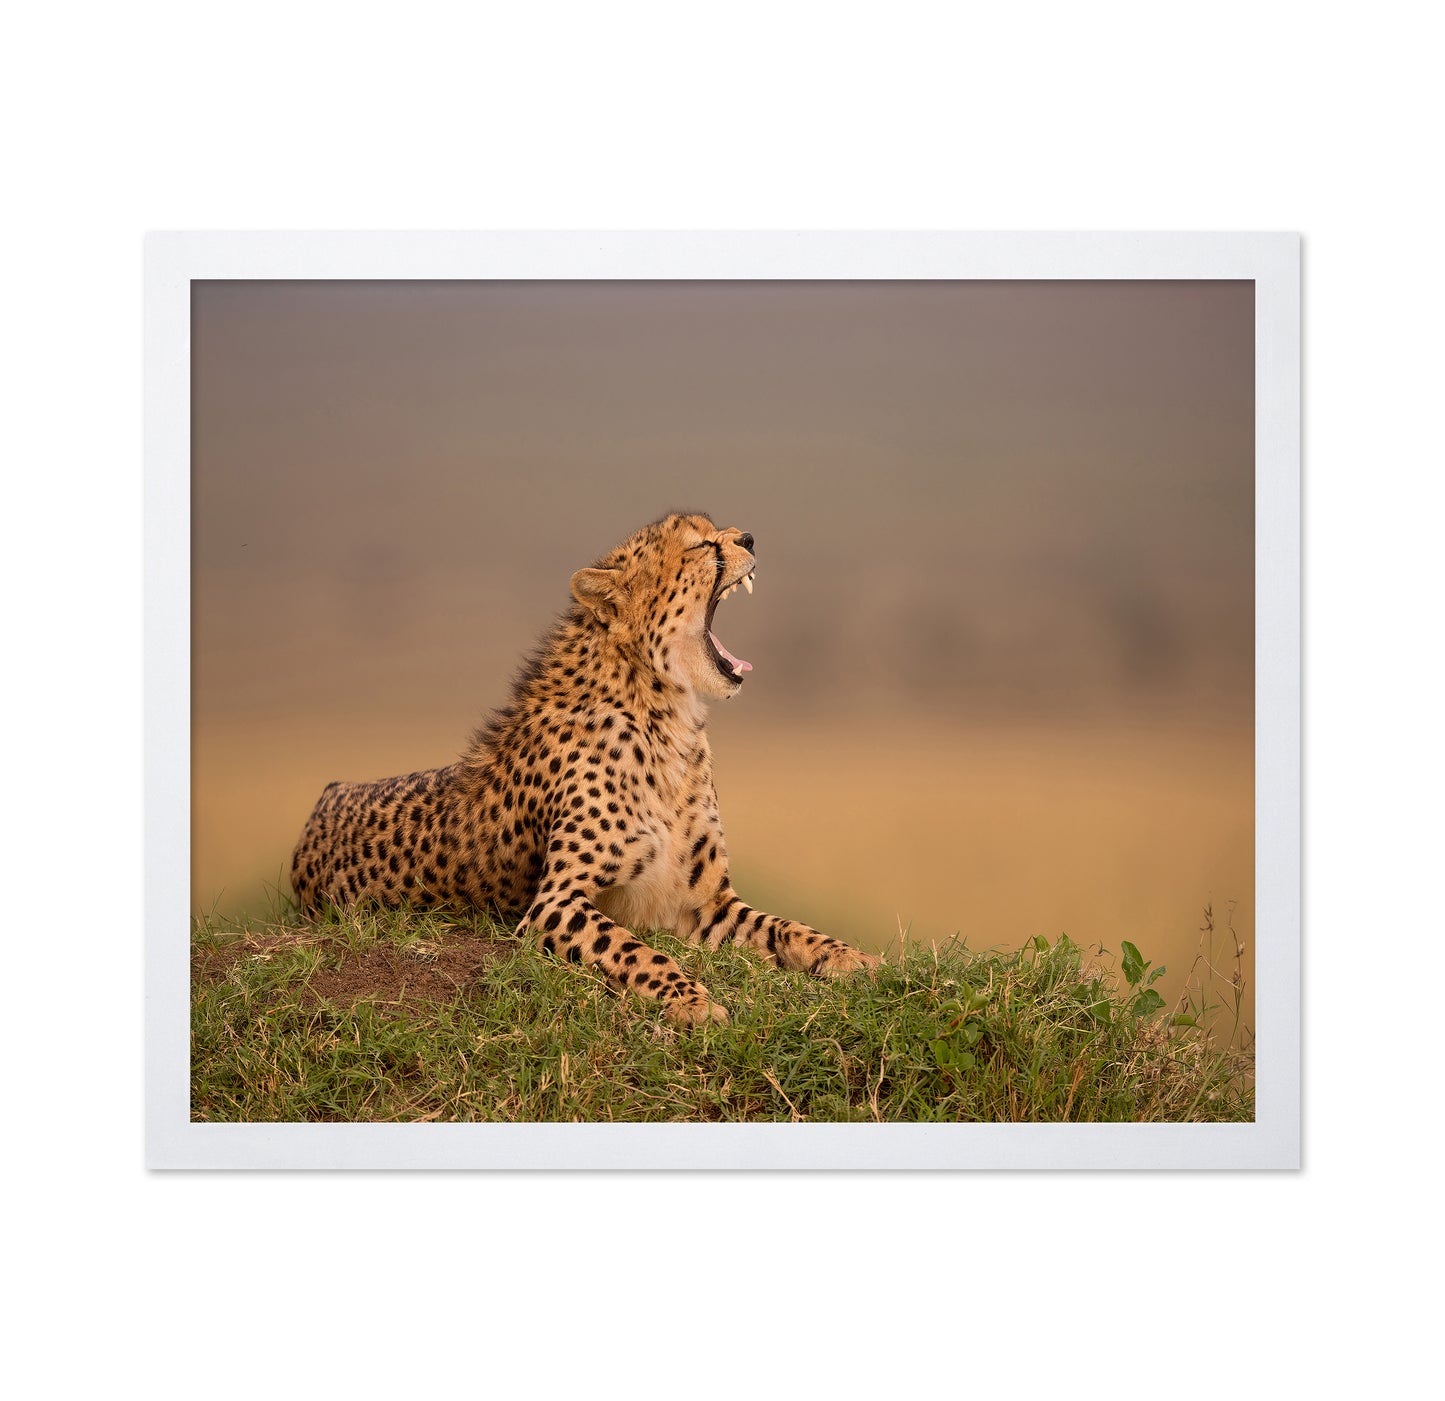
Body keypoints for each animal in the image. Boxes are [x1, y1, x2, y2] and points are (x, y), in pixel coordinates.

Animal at [290, 512, 881, 1026]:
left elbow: (787, 926)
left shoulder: (709, 904)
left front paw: (850, 957)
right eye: (699, 545)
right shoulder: (555, 903)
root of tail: (327, 795)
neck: (665, 714)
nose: (751, 538)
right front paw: (690, 1001)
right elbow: (638, 950)